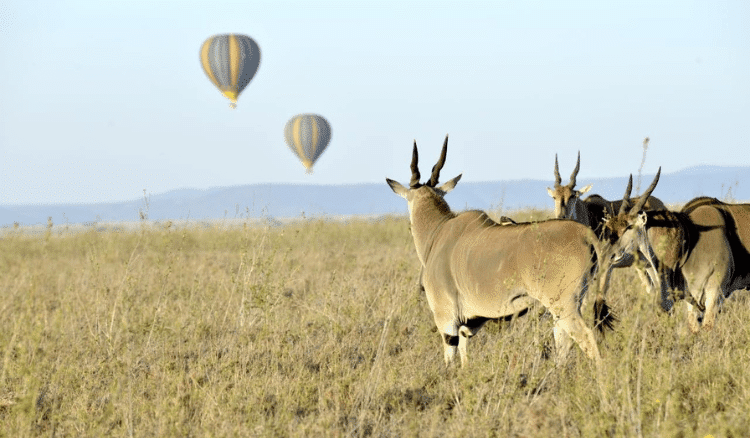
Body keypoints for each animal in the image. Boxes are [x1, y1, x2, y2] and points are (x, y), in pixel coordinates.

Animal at [388, 135, 616, 368]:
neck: (439, 230)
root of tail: (584, 233)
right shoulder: (466, 325)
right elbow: (464, 356)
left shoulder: (447, 320)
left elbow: (450, 359)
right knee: (564, 343)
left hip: (564, 305)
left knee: (586, 338)